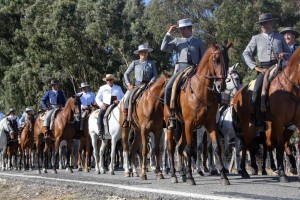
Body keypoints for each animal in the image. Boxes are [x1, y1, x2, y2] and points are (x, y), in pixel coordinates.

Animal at [164, 42, 232, 186]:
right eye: (215, 60)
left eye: (227, 59)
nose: (221, 85)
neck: (201, 90)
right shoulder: (190, 124)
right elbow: (190, 149)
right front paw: (191, 177)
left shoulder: (210, 123)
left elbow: (216, 147)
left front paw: (223, 176)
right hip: (171, 127)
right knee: (171, 149)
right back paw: (174, 175)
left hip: (183, 127)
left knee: (179, 147)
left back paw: (182, 174)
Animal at [233, 47, 300, 182]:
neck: (290, 87)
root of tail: (238, 94)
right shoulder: (279, 122)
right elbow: (279, 146)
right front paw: (282, 174)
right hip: (248, 127)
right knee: (246, 145)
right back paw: (245, 171)